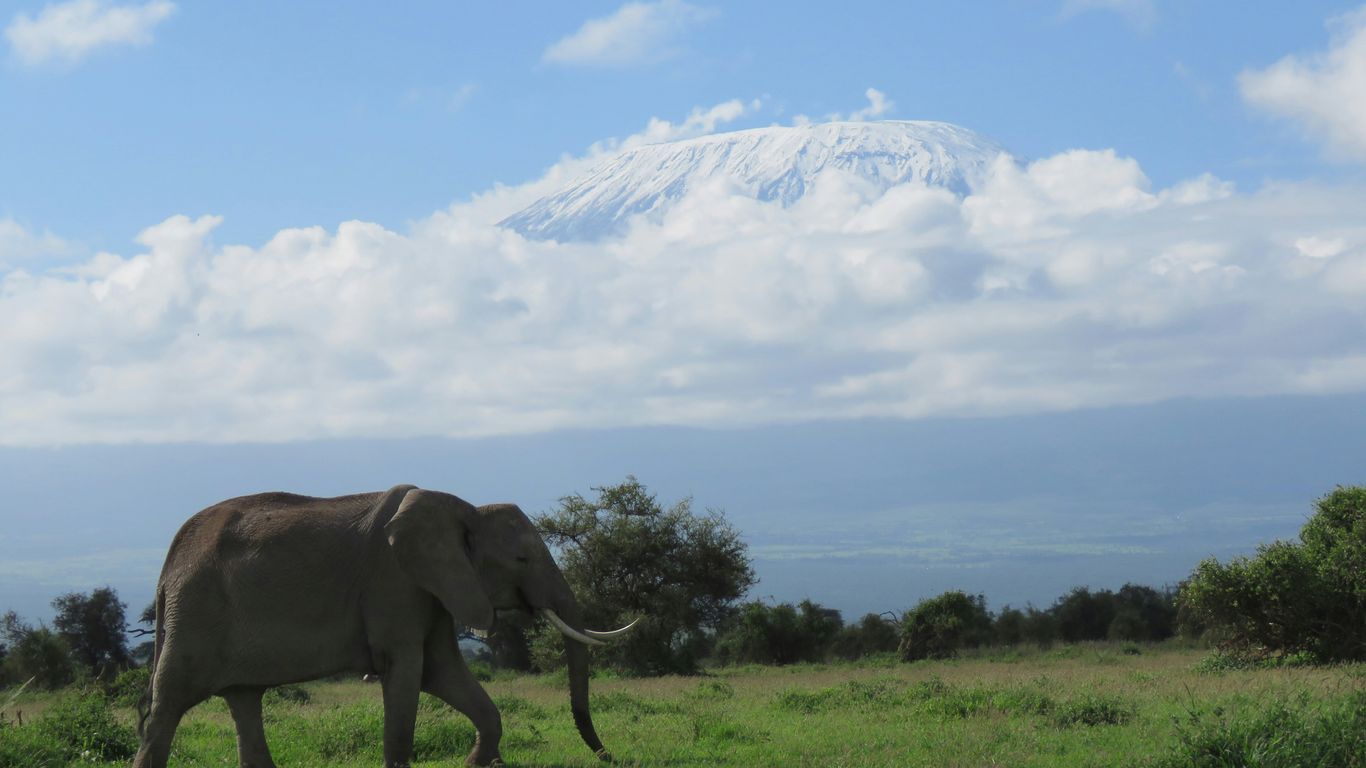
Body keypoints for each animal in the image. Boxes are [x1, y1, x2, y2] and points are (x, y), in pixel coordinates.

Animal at [133, 484, 636, 768]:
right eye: (522, 559)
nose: (611, 757)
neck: (465, 512)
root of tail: (167, 567)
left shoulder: (433, 591)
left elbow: (444, 674)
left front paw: (482, 763)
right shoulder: (395, 583)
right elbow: (408, 674)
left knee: (243, 701)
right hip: (196, 612)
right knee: (167, 707)